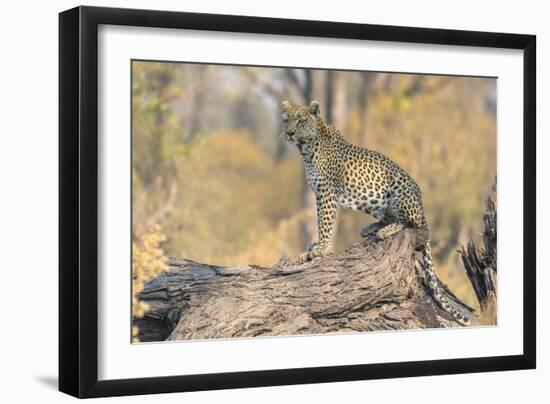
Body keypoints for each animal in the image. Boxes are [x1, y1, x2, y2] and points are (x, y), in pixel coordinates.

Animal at [282, 98, 472, 326]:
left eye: (301, 121)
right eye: (286, 120)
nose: (289, 133)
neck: (307, 149)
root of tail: (421, 205)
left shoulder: (327, 192)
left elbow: (326, 222)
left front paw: (322, 248)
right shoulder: (319, 194)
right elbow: (320, 220)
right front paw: (318, 244)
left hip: (399, 192)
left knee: (409, 223)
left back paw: (385, 230)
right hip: (374, 202)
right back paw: (370, 228)